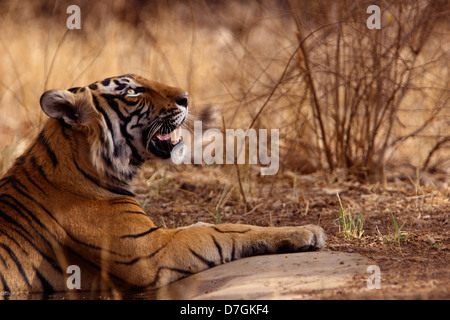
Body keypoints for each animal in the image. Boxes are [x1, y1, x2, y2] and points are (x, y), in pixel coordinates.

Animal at [0, 74, 326, 298]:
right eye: (132, 91)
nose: (186, 97)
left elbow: (203, 225)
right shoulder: (151, 251)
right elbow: (225, 231)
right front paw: (307, 231)